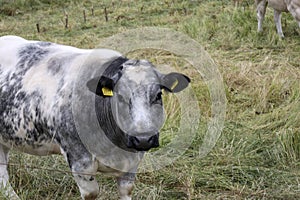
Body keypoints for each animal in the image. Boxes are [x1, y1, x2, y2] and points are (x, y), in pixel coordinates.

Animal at [0, 36, 190, 200]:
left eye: (158, 95)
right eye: (120, 96)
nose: (143, 139)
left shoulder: (133, 161)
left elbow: (126, 190)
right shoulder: (79, 160)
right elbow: (92, 193)